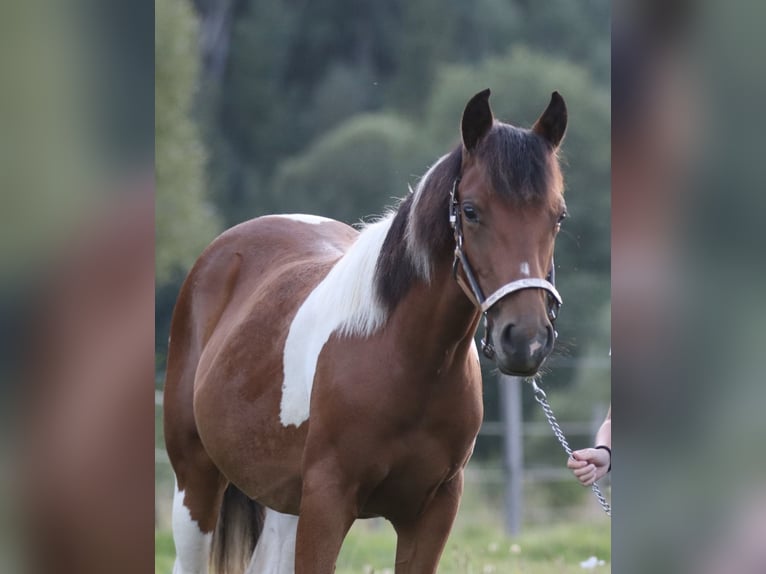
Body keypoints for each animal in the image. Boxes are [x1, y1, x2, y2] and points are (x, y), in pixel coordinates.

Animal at [163, 88, 568, 574]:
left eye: (558, 216)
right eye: (471, 211)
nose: (526, 339)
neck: (403, 362)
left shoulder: (432, 512)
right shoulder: (327, 503)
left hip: (283, 503)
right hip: (195, 482)